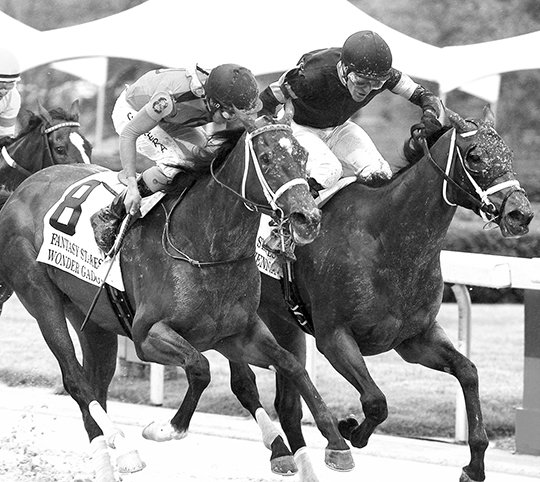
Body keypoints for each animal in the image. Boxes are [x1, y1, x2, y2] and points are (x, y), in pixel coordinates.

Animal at [0, 110, 354, 482]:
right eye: (268, 158)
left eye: (302, 156)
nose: (308, 218)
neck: (203, 247)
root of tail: (22, 189)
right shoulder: (148, 335)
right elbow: (201, 368)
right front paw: (165, 428)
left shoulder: (235, 333)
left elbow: (290, 366)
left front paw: (336, 442)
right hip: (40, 296)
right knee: (76, 380)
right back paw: (125, 449)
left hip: (90, 318)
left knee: (97, 382)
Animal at [231, 107, 532, 482]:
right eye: (475, 156)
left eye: (508, 152)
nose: (521, 213)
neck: (387, 239)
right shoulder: (334, 337)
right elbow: (376, 401)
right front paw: (347, 430)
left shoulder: (414, 338)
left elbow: (468, 371)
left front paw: (474, 464)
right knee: (245, 386)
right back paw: (280, 450)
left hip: (283, 323)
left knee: (286, 400)